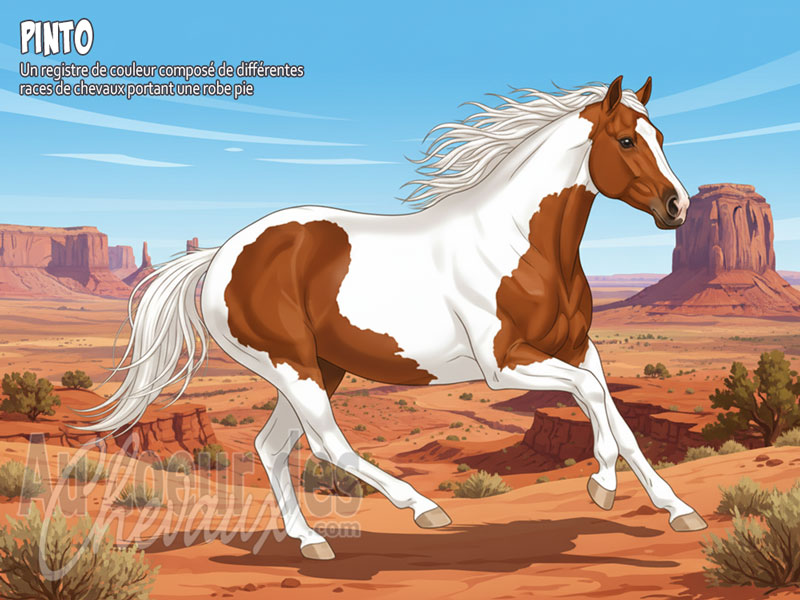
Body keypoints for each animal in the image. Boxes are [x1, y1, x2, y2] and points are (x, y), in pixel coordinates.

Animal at [81, 75, 706, 560]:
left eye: (661, 137)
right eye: (626, 139)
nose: (678, 207)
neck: (518, 244)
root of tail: (221, 255)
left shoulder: (579, 348)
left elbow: (618, 418)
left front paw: (678, 510)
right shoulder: (505, 365)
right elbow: (592, 399)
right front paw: (601, 485)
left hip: (318, 368)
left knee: (272, 446)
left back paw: (311, 541)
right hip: (291, 365)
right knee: (328, 446)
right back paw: (423, 510)